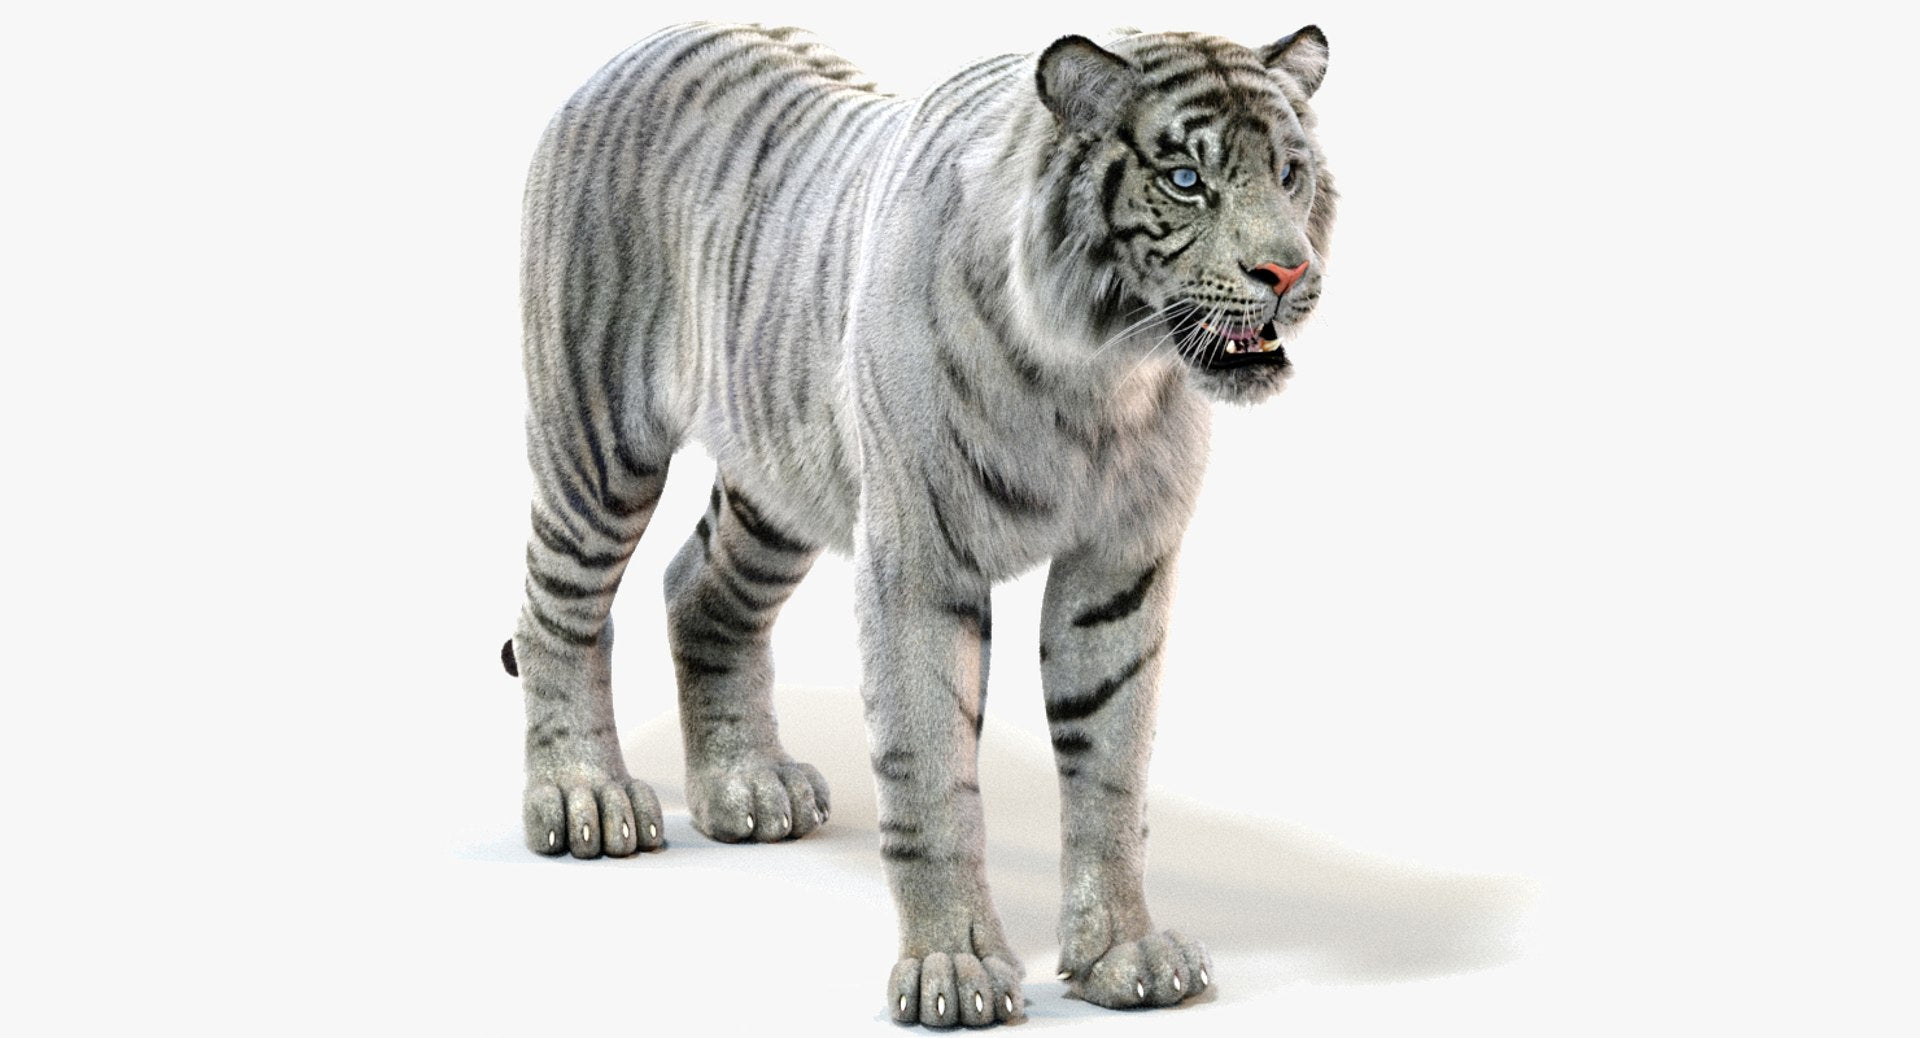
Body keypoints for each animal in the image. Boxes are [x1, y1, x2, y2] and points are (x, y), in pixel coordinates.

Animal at [503, 21, 1335, 1027]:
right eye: (1185, 179)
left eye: (1289, 172)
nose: (1288, 270)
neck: (1099, 377)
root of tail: (643, 44)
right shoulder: (919, 565)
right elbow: (932, 778)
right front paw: (954, 970)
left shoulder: (1120, 568)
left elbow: (1111, 768)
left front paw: (1122, 956)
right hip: (597, 440)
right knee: (557, 615)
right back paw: (585, 799)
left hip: (782, 478)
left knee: (698, 591)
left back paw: (747, 785)